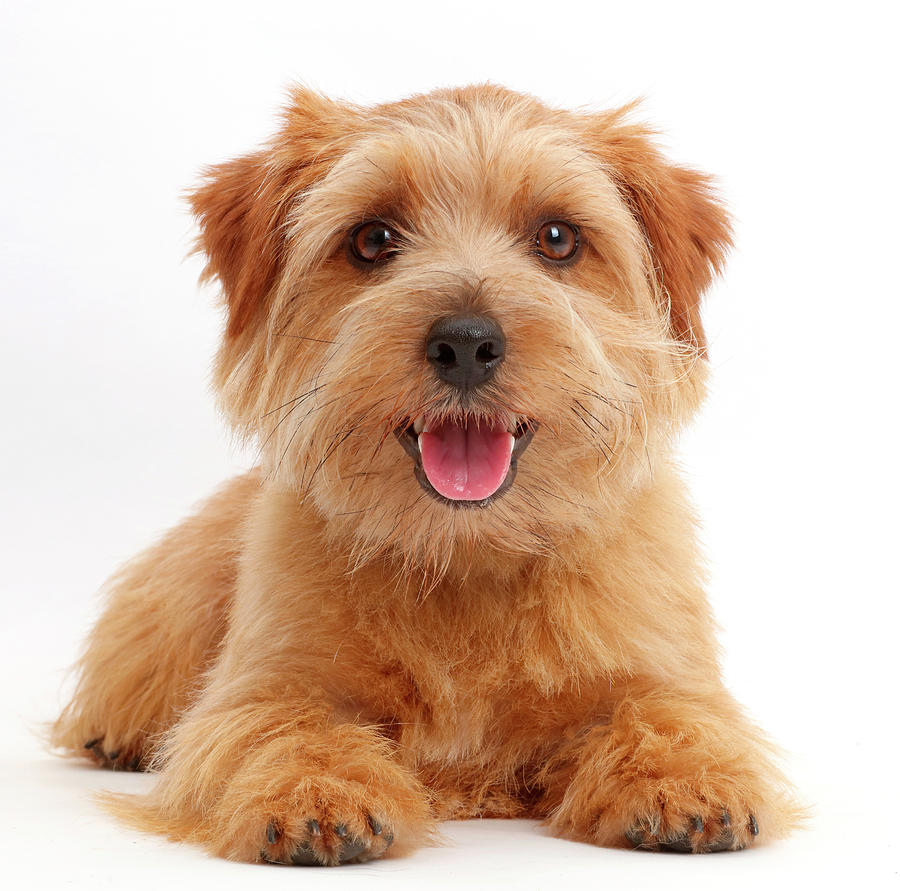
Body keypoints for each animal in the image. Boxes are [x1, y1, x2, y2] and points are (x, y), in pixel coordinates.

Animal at [51, 83, 796, 864]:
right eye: (373, 239)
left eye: (558, 238)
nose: (466, 342)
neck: (464, 555)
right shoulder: (264, 684)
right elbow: (284, 728)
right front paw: (318, 795)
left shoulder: (662, 670)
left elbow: (671, 712)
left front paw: (689, 778)